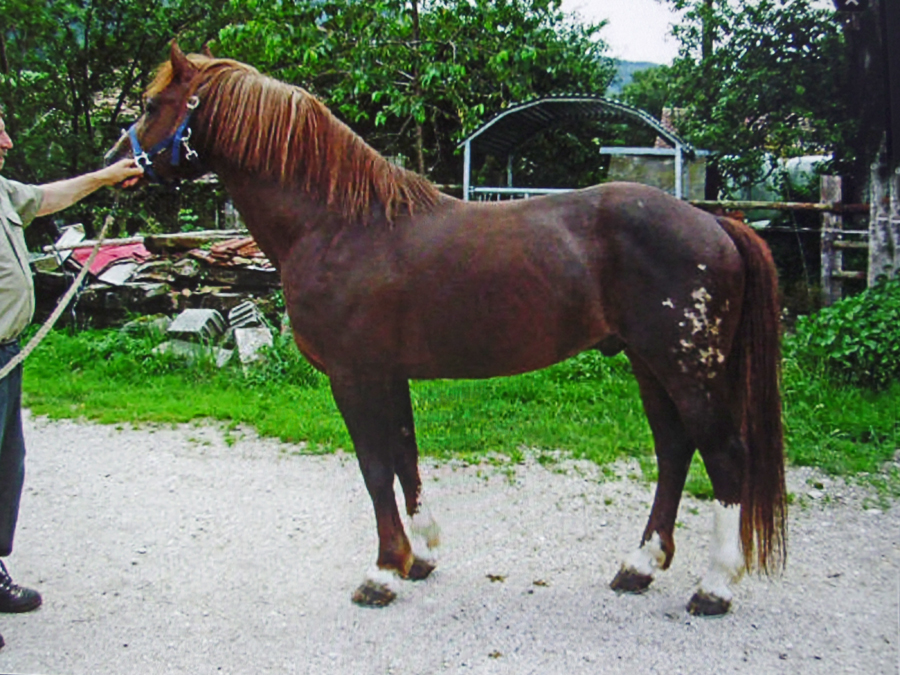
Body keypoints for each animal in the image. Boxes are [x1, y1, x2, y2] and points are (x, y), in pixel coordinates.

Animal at [107, 43, 788, 616]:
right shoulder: (388, 374)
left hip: (687, 368)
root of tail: (716, 223)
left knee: (725, 457)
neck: (337, 224)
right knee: (675, 452)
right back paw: (639, 567)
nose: (115, 165)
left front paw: (383, 573)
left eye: (152, 104)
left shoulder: (354, 376)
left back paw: (714, 587)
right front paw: (422, 556)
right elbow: (405, 457)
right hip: (651, 364)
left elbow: (374, 468)